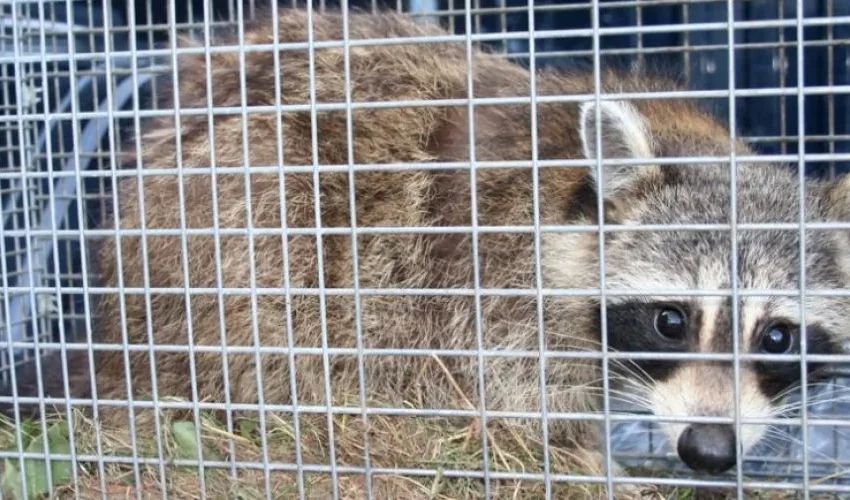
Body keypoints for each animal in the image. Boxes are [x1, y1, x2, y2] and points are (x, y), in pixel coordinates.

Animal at [2, 6, 847, 486]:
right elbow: (519, 410)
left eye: (778, 336)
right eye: (672, 321)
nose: (709, 450)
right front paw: (590, 464)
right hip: (229, 231)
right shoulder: (497, 295)